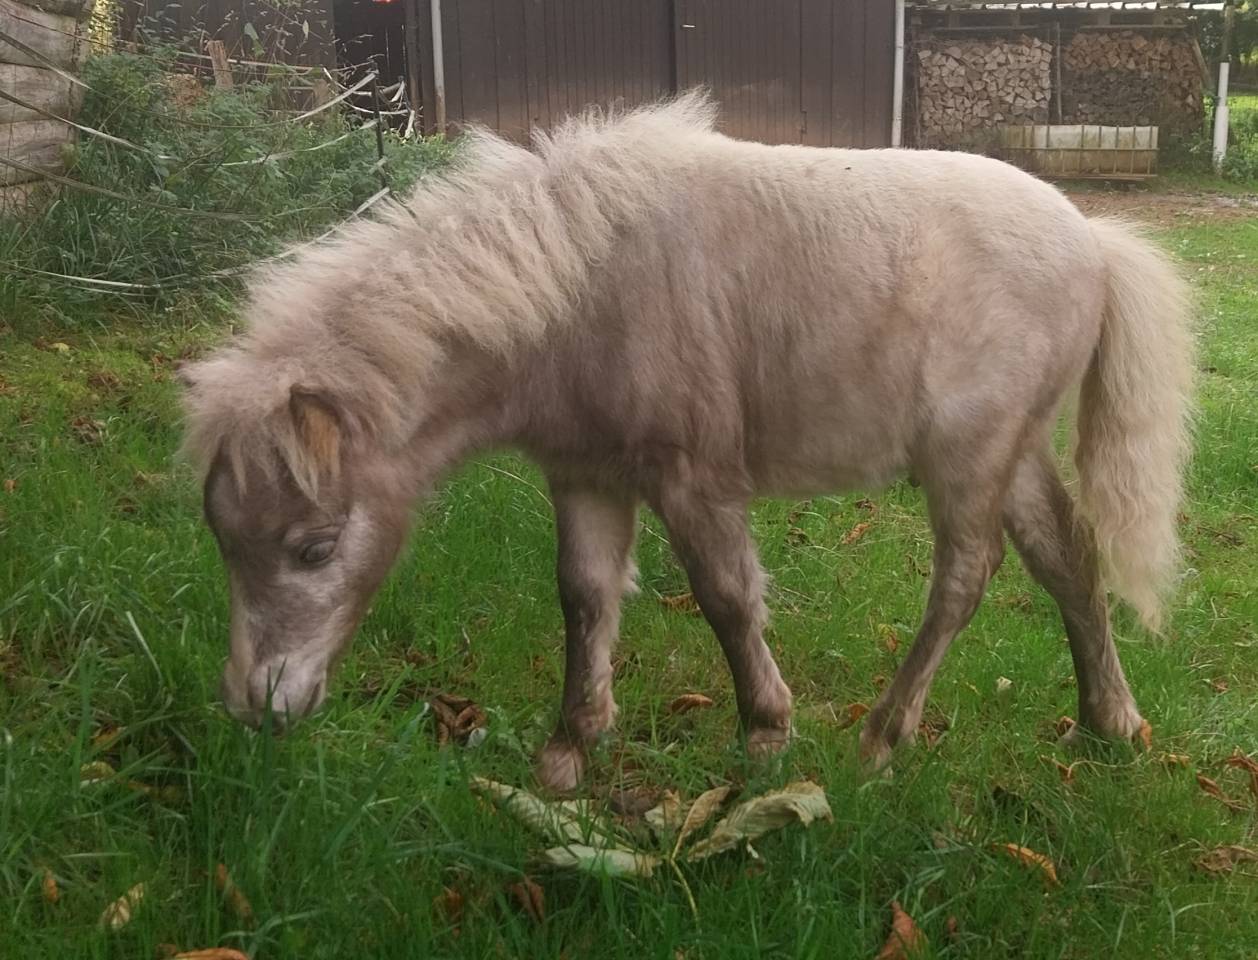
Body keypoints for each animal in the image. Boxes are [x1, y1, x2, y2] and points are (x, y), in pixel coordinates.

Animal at [179, 92, 1193, 791]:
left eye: (314, 548)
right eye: (224, 541)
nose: (255, 707)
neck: (580, 292)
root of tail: (1096, 243)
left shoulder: (692, 479)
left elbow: (726, 598)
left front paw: (765, 734)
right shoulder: (586, 477)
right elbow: (585, 597)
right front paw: (569, 749)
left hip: (968, 457)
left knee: (965, 578)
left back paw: (883, 736)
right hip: (1013, 454)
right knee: (1068, 560)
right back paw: (1111, 722)